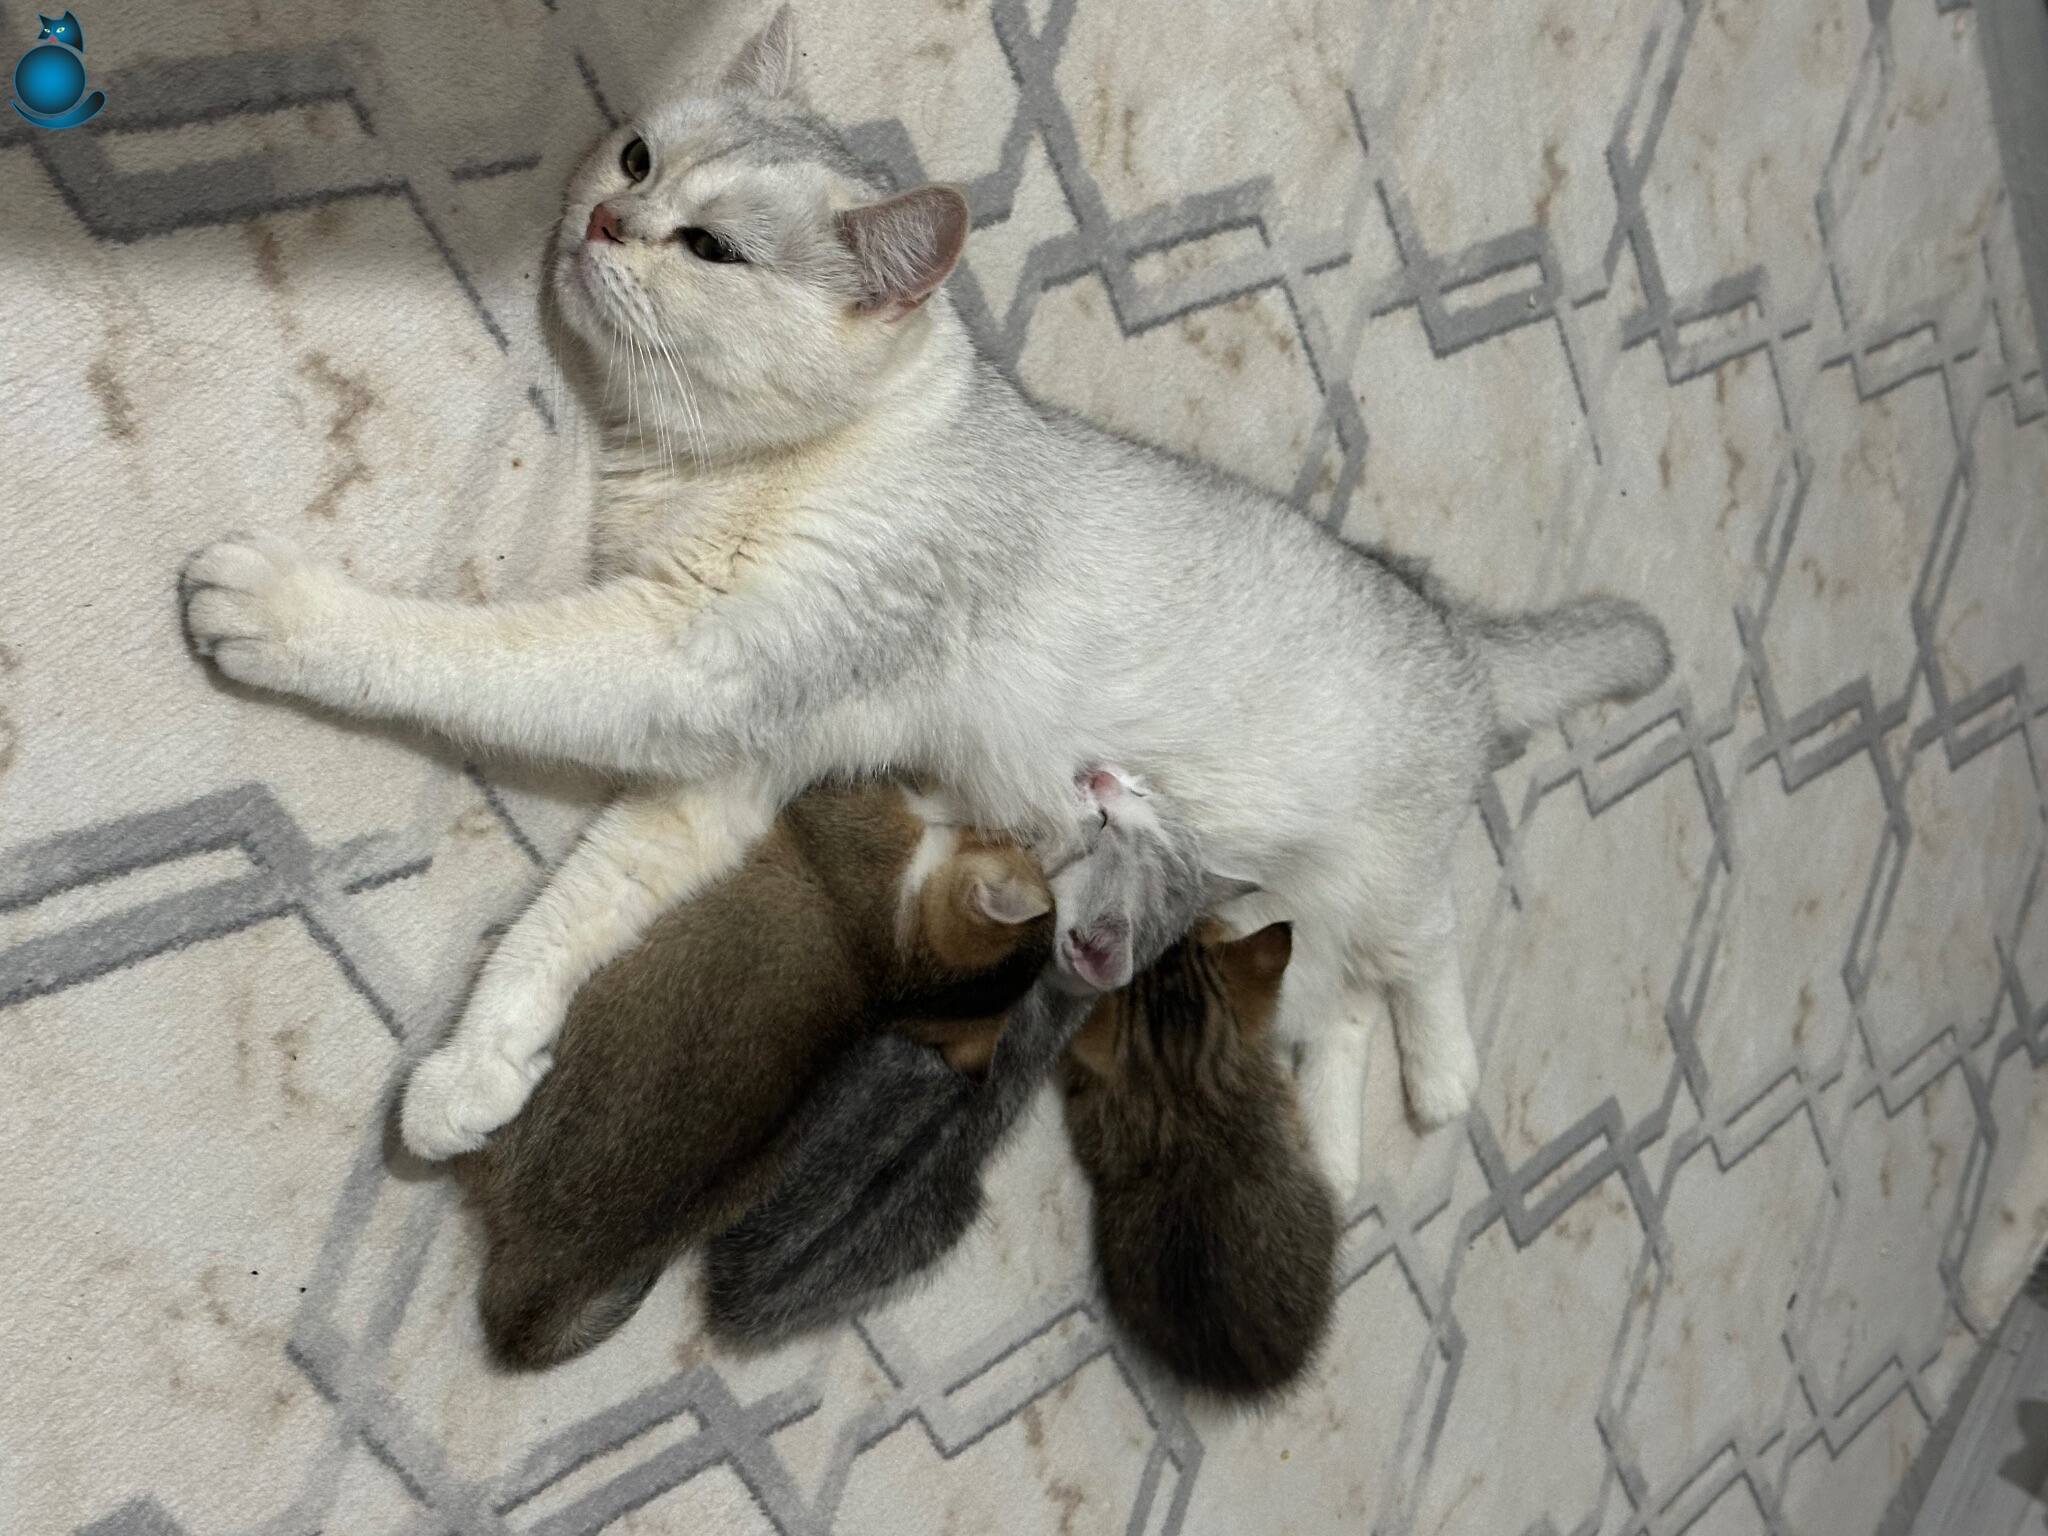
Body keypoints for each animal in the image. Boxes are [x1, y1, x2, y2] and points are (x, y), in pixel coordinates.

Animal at [179, 6, 1672, 1197]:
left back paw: (1445, 1081)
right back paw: (1342, 1143)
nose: (605, 216)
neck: (743, 464)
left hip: (1382, 871)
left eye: (708, 249)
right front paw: (475, 1069)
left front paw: (280, 612)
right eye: (639, 160)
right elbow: (569, 915)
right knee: (1339, 1002)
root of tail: (1451, 630)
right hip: (1266, 914)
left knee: (1427, 950)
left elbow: (459, 654)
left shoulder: (687, 659)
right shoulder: (720, 774)